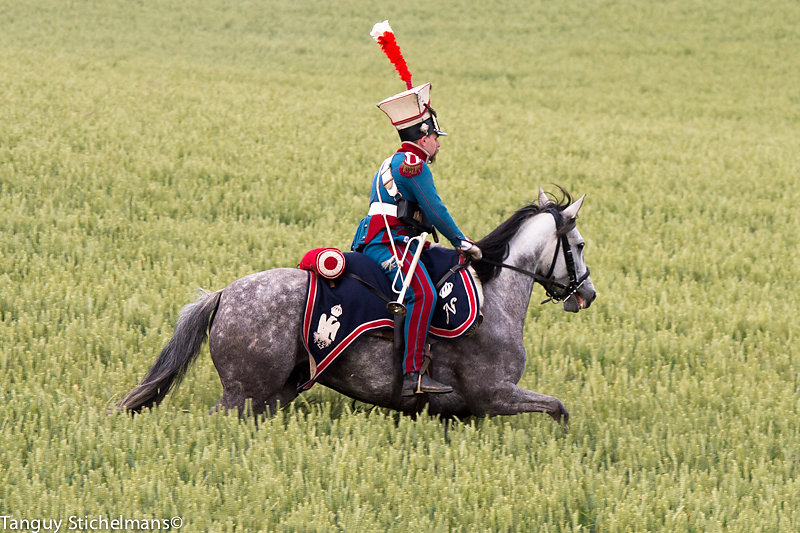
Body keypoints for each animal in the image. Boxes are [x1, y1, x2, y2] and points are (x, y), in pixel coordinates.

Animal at [116, 188, 596, 425]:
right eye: (578, 244)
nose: (587, 294)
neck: (495, 294)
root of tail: (224, 295)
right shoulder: (495, 395)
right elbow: (559, 409)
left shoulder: (462, 413)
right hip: (242, 393)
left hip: (274, 393)